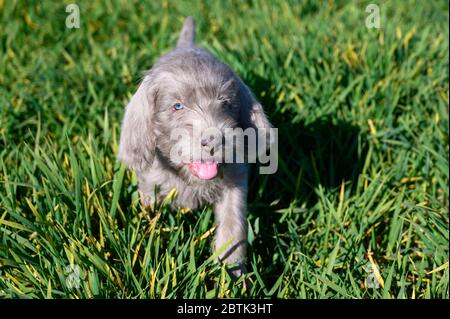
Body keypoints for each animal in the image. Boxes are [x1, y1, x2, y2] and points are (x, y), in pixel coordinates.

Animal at [118, 16, 270, 278]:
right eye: (177, 106)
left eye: (226, 103)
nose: (214, 139)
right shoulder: (149, 189)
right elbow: (151, 221)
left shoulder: (234, 182)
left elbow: (232, 230)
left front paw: (232, 275)